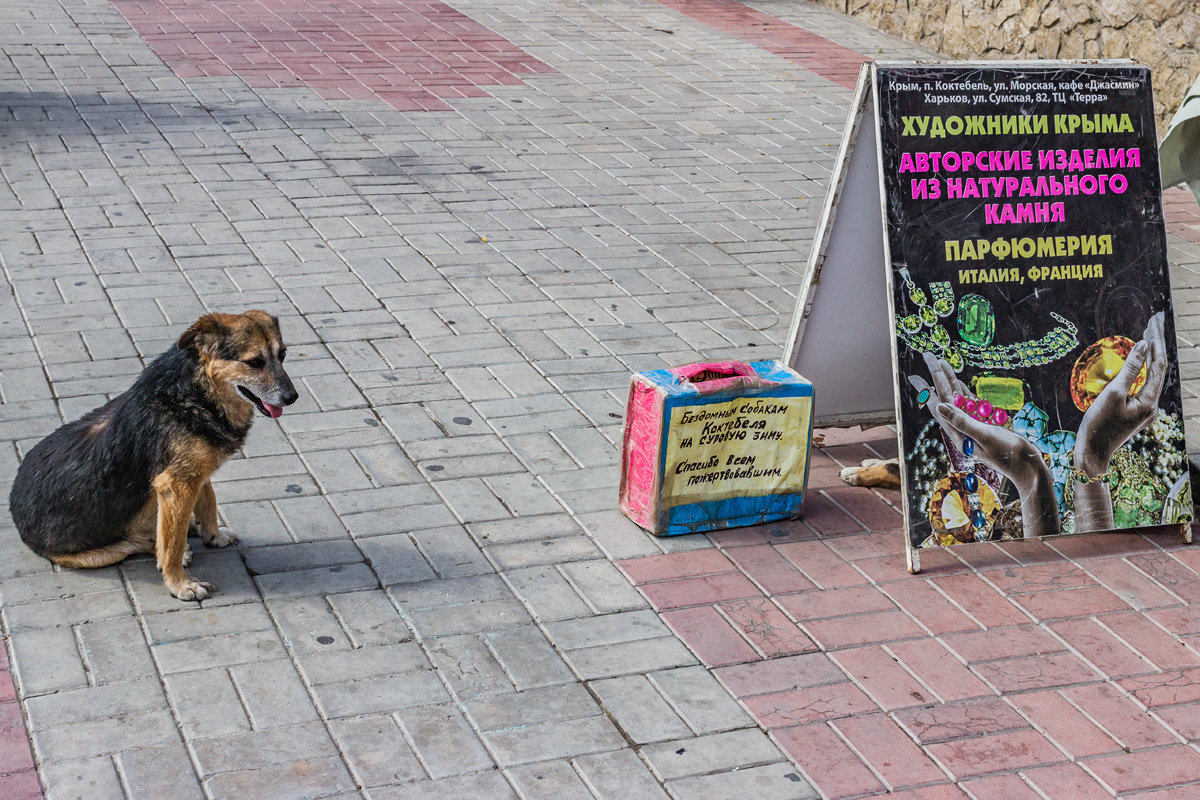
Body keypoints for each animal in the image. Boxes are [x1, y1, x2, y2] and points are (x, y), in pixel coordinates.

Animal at [9, 311, 297, 599]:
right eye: (255, 362)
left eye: (283, 354)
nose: (292, 397)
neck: (196, 391)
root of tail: (16, 515)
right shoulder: (176, 486)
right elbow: (173, 545)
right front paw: (180, 583)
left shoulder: (197, 473)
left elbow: (209, 502)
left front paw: (213, 536)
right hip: (102, 553)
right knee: (142, 542)